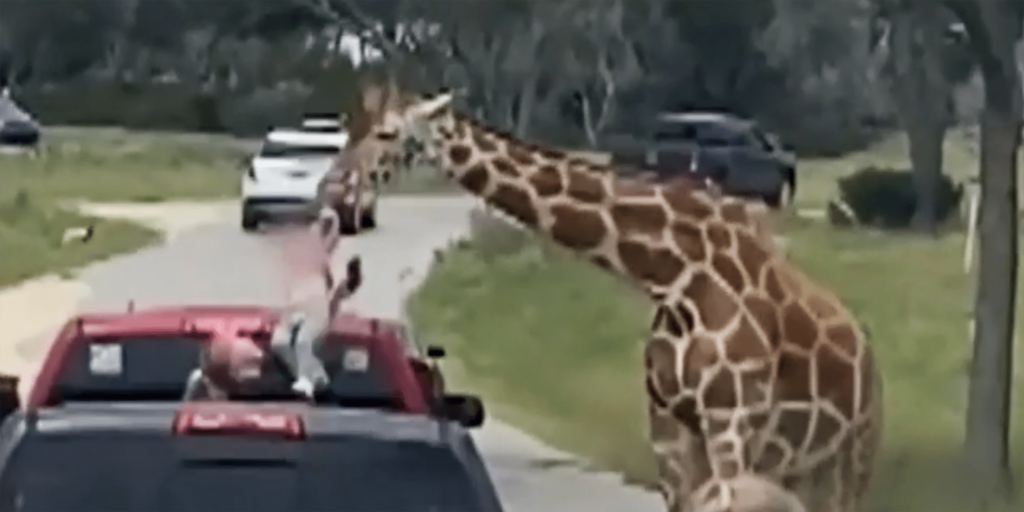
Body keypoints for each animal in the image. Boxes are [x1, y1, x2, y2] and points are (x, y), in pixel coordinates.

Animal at [342, 79, 880, 512]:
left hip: (850, 455)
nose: (342, 181)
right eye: (355, 126)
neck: (677, 275)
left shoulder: (733, 418)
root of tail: (867, 354)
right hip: (798, 464)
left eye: (387, 134)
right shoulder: (668, 424)